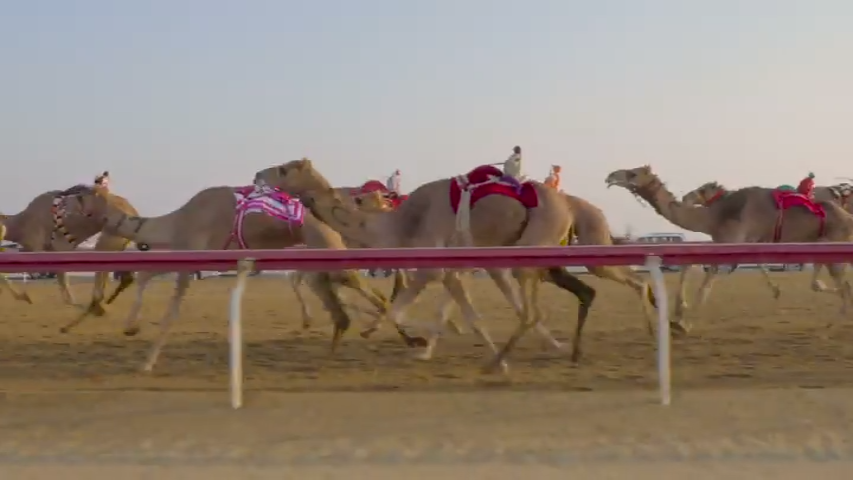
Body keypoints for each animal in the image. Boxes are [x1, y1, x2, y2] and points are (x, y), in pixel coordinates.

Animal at [0, 183, 139, 313]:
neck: (20, 224)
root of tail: (133, 211)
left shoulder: (37, 245)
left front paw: (25, 296)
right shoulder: (52, 249)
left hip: (112, 235)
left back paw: (97, 306)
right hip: (119, 240)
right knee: (120, 273)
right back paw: (102, 304)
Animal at [63, 183, 395, 372]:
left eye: (80, 195)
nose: (63, 199)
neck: (179, 219)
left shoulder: (192, 256)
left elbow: (171, 312)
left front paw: (147, 362)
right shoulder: (184, 252)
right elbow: (145, 275)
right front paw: (131, 327)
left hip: (328, 248)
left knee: (368, 291)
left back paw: (388, 333)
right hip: (319, 257)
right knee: (344, 303)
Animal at [253, 154, 634, 372]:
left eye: (284, 169)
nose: (257, 175)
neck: (400, 223)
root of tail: (569, 204)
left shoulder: (433, 263)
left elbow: (403, 309)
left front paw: (412, 342)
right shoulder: (450, 267)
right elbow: (454, 311)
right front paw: (422, 346)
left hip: (534, 244)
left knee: (532, 306)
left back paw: (507, 360)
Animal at [605, 166, 853, 333]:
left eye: (633, 173)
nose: (610, 176)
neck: (714, 215)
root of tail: (847, 217)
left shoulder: (733, 241)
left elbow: (706, 285)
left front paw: (684, 322)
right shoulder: (723, 240)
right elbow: (689, 263)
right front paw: (678, 313)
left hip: (833, 242)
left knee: (844, 284)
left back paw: (835, 322)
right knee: (837, 282)